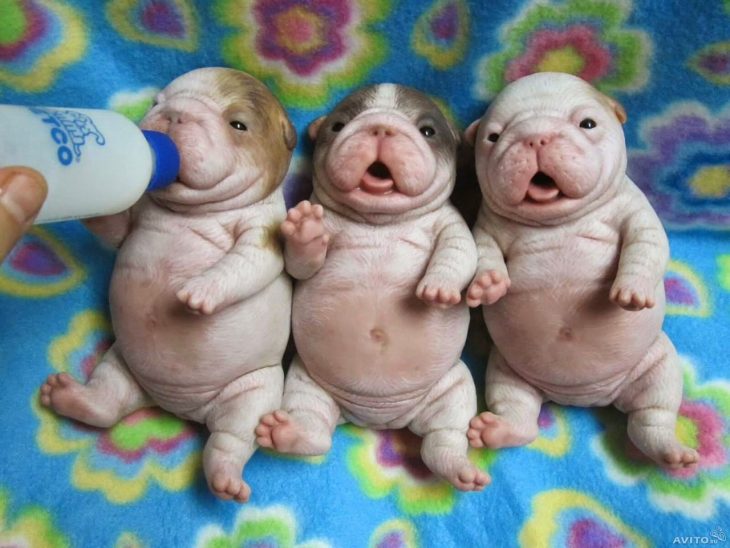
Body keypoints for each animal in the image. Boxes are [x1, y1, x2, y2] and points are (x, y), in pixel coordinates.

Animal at [464, 70, 696, 468]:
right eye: (493, 137)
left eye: (587, 124)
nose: (535, 136)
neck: (557, 218)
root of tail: (586, 398)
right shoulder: (486, 227)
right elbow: (484, 251)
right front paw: (488, 283)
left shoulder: (637, 212)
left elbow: (646, 245)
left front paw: (632, 289)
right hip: (507, 371)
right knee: (519, 411)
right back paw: (497, 430)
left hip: (659, 364)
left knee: (652, 416)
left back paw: (671, 451)